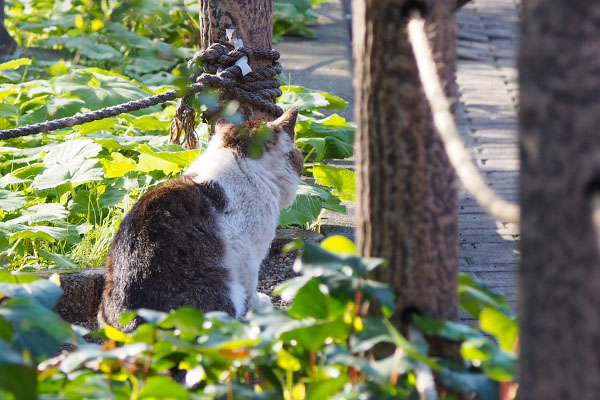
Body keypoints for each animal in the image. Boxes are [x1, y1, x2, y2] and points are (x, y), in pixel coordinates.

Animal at [99, 109, 304, 332]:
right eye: (298, 156)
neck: (241, 165)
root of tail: (138, 325)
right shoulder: (248, 252)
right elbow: (251, 285)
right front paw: (259, 303)